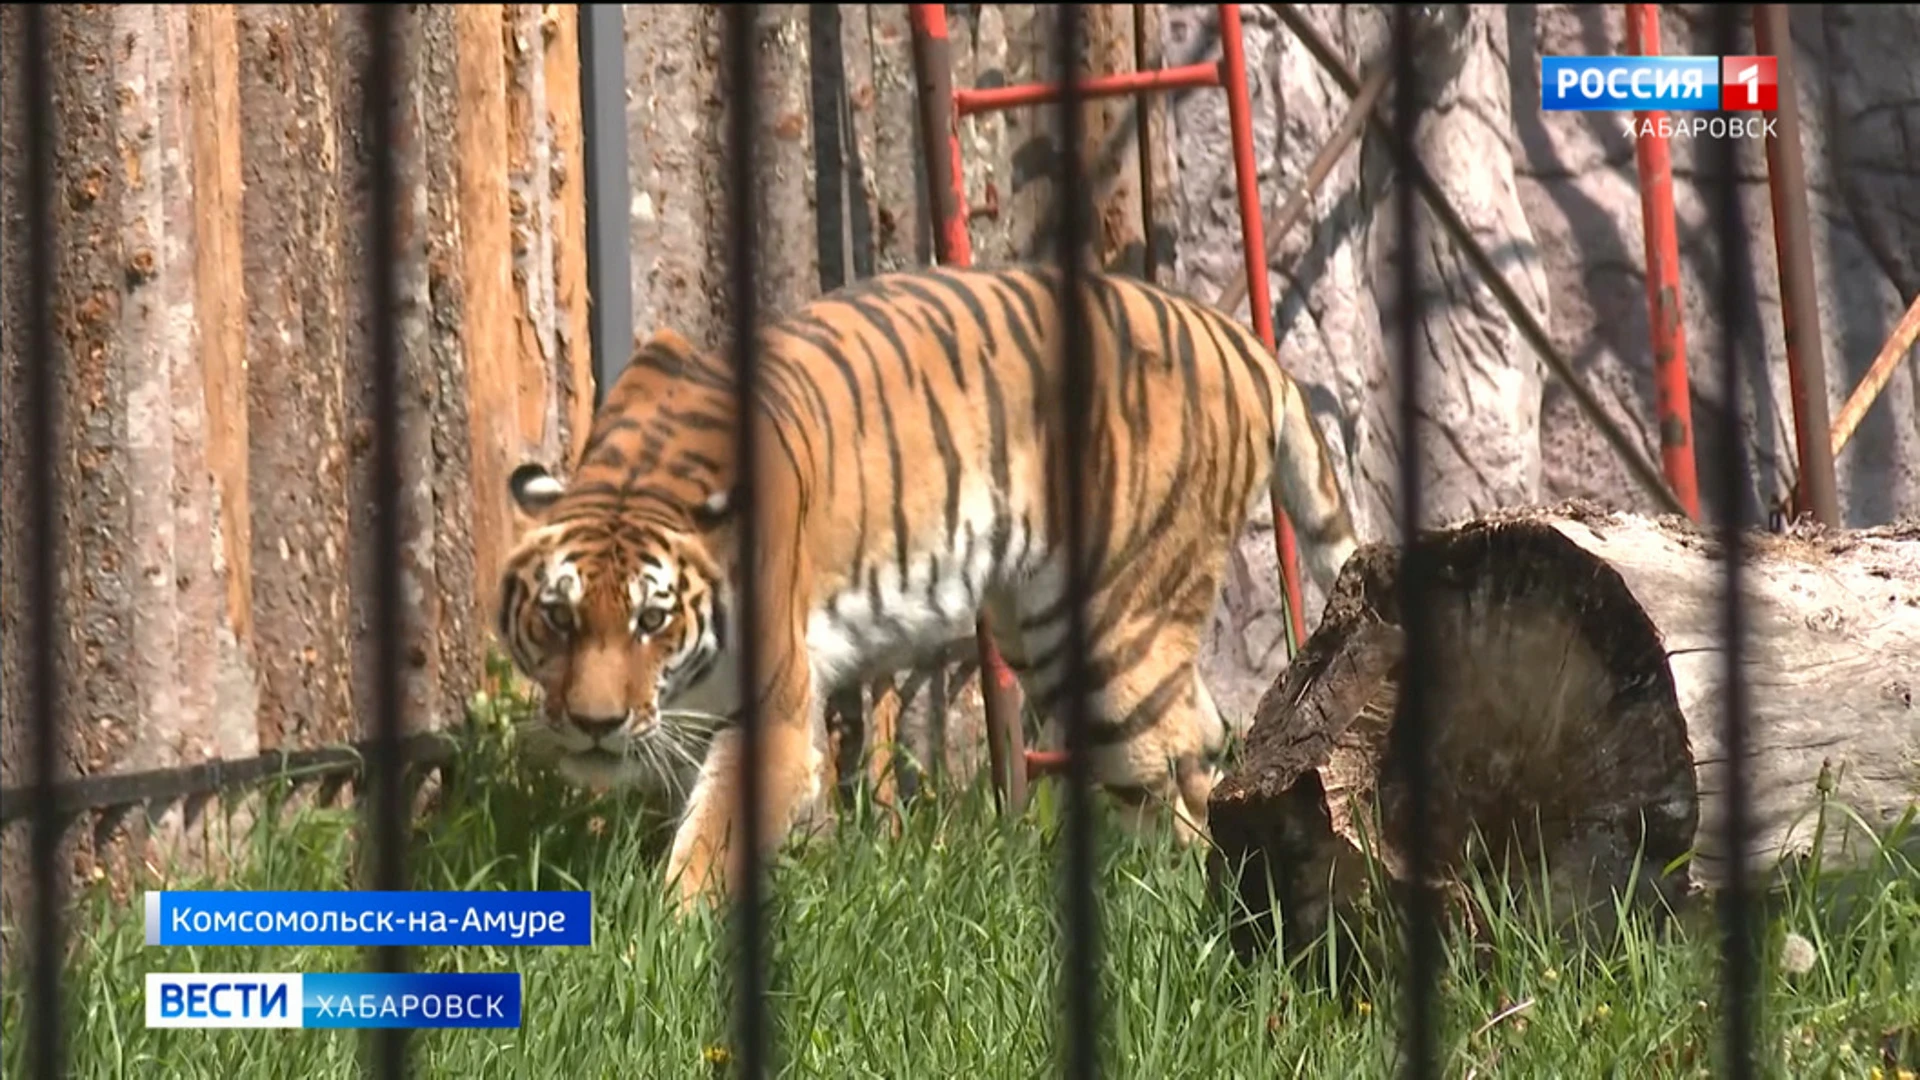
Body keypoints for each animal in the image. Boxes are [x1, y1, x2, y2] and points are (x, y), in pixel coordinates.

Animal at [495, 261, 1367, 907]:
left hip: (1115, 636)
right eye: (558, 619)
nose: (596, 725)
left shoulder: (773, 706)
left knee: (1183, 757)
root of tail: (1239, 340)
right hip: (1046, 633)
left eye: (652, 621)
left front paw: (664, 939)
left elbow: (711, 842)